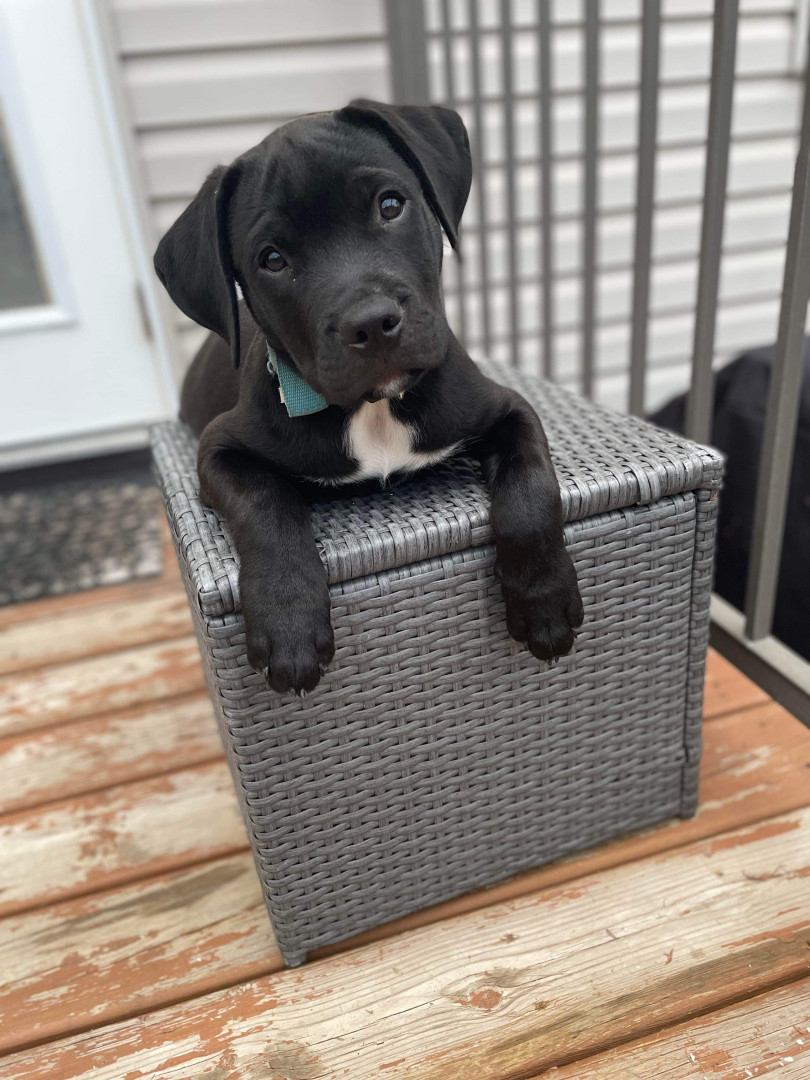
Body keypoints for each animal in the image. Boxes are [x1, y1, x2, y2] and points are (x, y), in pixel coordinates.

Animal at [154, 100, 584, 695]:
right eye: (272, 259)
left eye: (390, 205)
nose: (372, 324)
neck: (374, 408)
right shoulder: (219, 448)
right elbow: (265, 504)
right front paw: (288, 622)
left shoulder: (509, 409)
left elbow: (530, 490)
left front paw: (544, 599)